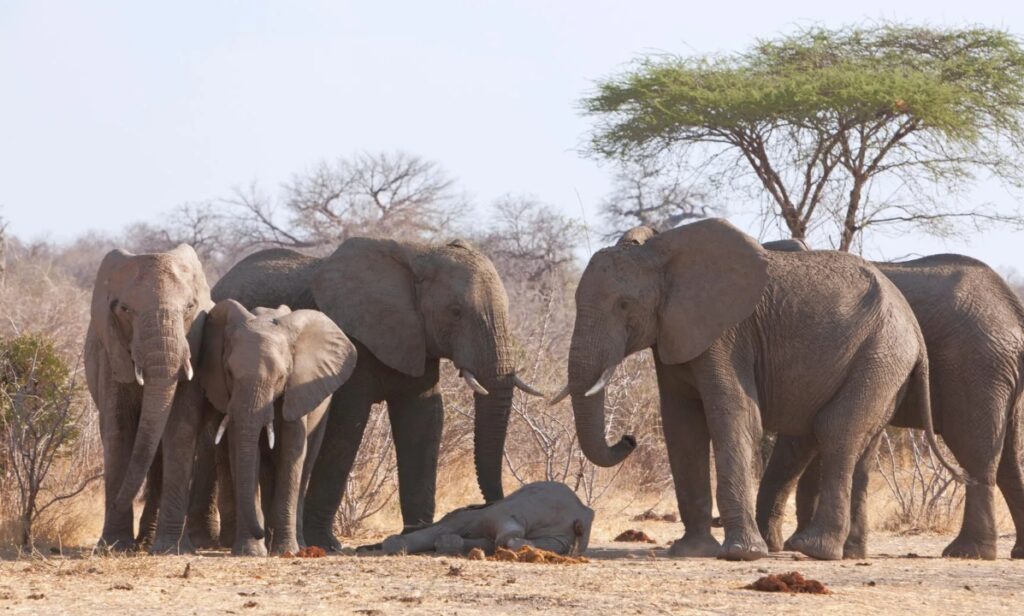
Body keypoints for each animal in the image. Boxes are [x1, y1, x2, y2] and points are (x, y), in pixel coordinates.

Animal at [84, 244, 211, 553]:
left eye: (190, 308)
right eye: (125, 310)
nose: (116, 502)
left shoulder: (195, 346)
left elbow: (180, 429)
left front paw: (172, 549)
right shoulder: (111, 352)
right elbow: (119, 430)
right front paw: (114, 546)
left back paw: (151, 541)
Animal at [198, 300, 357, 555]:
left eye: (281, 376)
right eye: (229, 373)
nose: (260, 532)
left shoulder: (298, 389)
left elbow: (292, 454)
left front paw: (284, 551)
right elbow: (242, 451)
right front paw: (251, 551)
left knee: (305, 463)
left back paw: (297, 543)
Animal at [556, 218, 965, 561]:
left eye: (625, 305)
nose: (628, 438)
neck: (662, 253)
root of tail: (914, 328)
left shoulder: (727, 335)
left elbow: (734, 414)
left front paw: (742, 554)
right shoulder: (674, 332)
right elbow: (681, 426)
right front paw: (691, 551)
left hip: (880, 353)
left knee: (837, 432)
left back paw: (814, 550)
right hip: (886, 365)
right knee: (864, 445)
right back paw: (851, 554)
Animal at [756, 238, 1024, 560]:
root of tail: (1014, 310)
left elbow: (800, 442)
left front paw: (778, 543)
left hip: (976, 368)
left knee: (975, 451)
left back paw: (966, 552)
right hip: (997, 375)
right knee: (1008, 460)